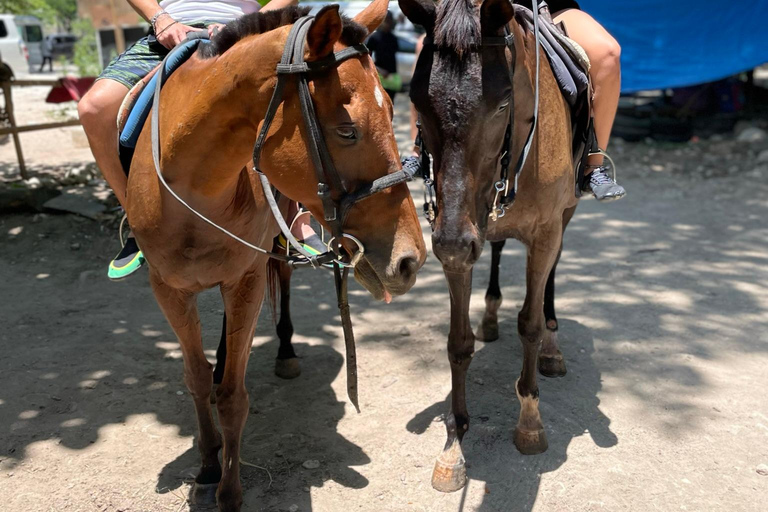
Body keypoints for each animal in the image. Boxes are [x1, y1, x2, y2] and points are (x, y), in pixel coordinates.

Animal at [124, 2, 426, 510]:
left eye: (391, 109)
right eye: (348, 130)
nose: (410, 260)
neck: (195, 186)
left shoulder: (244, 278)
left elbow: (232, 396)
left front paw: (229, 489)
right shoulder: (168, 289)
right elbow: (197, 379)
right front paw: (208, 464)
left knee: (280, 283)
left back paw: (283, 351)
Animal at [402, 0, 584, 494]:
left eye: (502, 103)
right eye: (417, 101)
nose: (451, 239)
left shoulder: (544, 232)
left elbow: (529, 324)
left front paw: (530, 422)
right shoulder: (457, 243)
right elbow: (458, 344)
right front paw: (454, 443)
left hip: (565, 214)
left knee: (551, 276)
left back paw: (552, 347)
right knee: (498, 250)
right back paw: (489, 313)